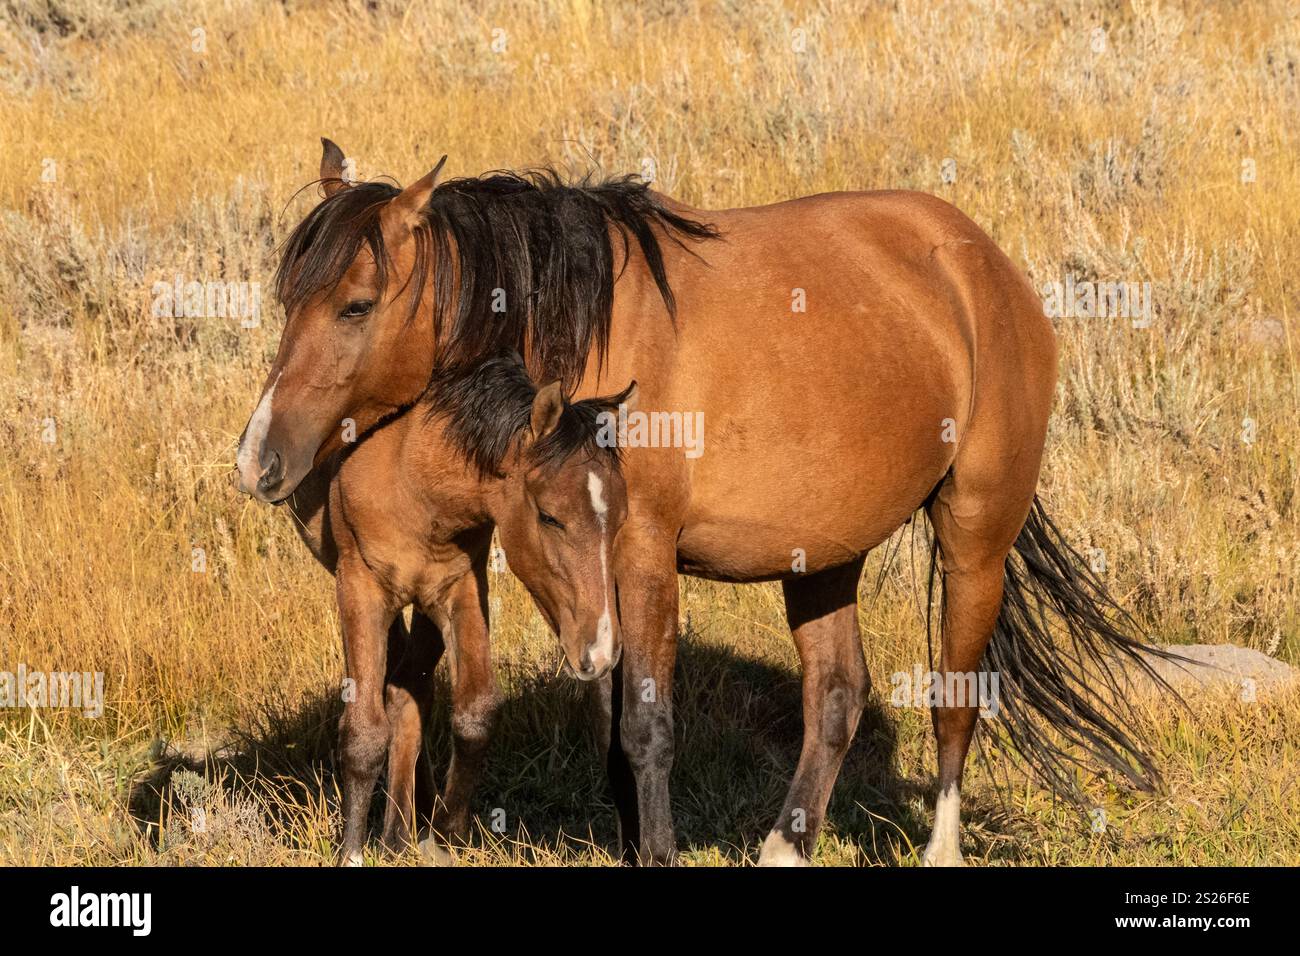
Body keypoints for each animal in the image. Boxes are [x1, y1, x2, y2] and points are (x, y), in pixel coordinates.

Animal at [261, 346, 631, 864]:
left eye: (620, 519)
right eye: (549, 516)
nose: (601, 652)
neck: (412, 475)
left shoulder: (460, 588)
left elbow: (475, 712)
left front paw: (445, 833)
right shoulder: (361, 587)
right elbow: (362, 731)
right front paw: (352, 849)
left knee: (407, 691)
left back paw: (402, 830)